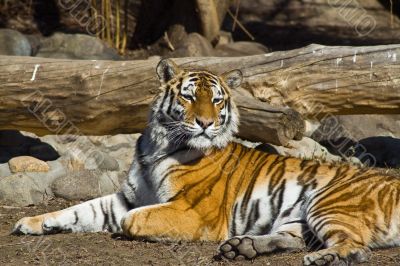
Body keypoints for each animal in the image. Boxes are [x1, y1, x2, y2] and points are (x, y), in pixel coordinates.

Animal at [12, 58, 400, 264]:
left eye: (216, 100)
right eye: (188, 97)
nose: (205, 123)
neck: (157, 146)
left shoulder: (195, 212)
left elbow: (131, 219)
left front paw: (125, 226)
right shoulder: (127, 196)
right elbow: (80, 209)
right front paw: (32, 223)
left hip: (327, 202)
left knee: (357, 247)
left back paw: (323, 257)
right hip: (298, 219)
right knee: (298, 238)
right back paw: (242, 246)